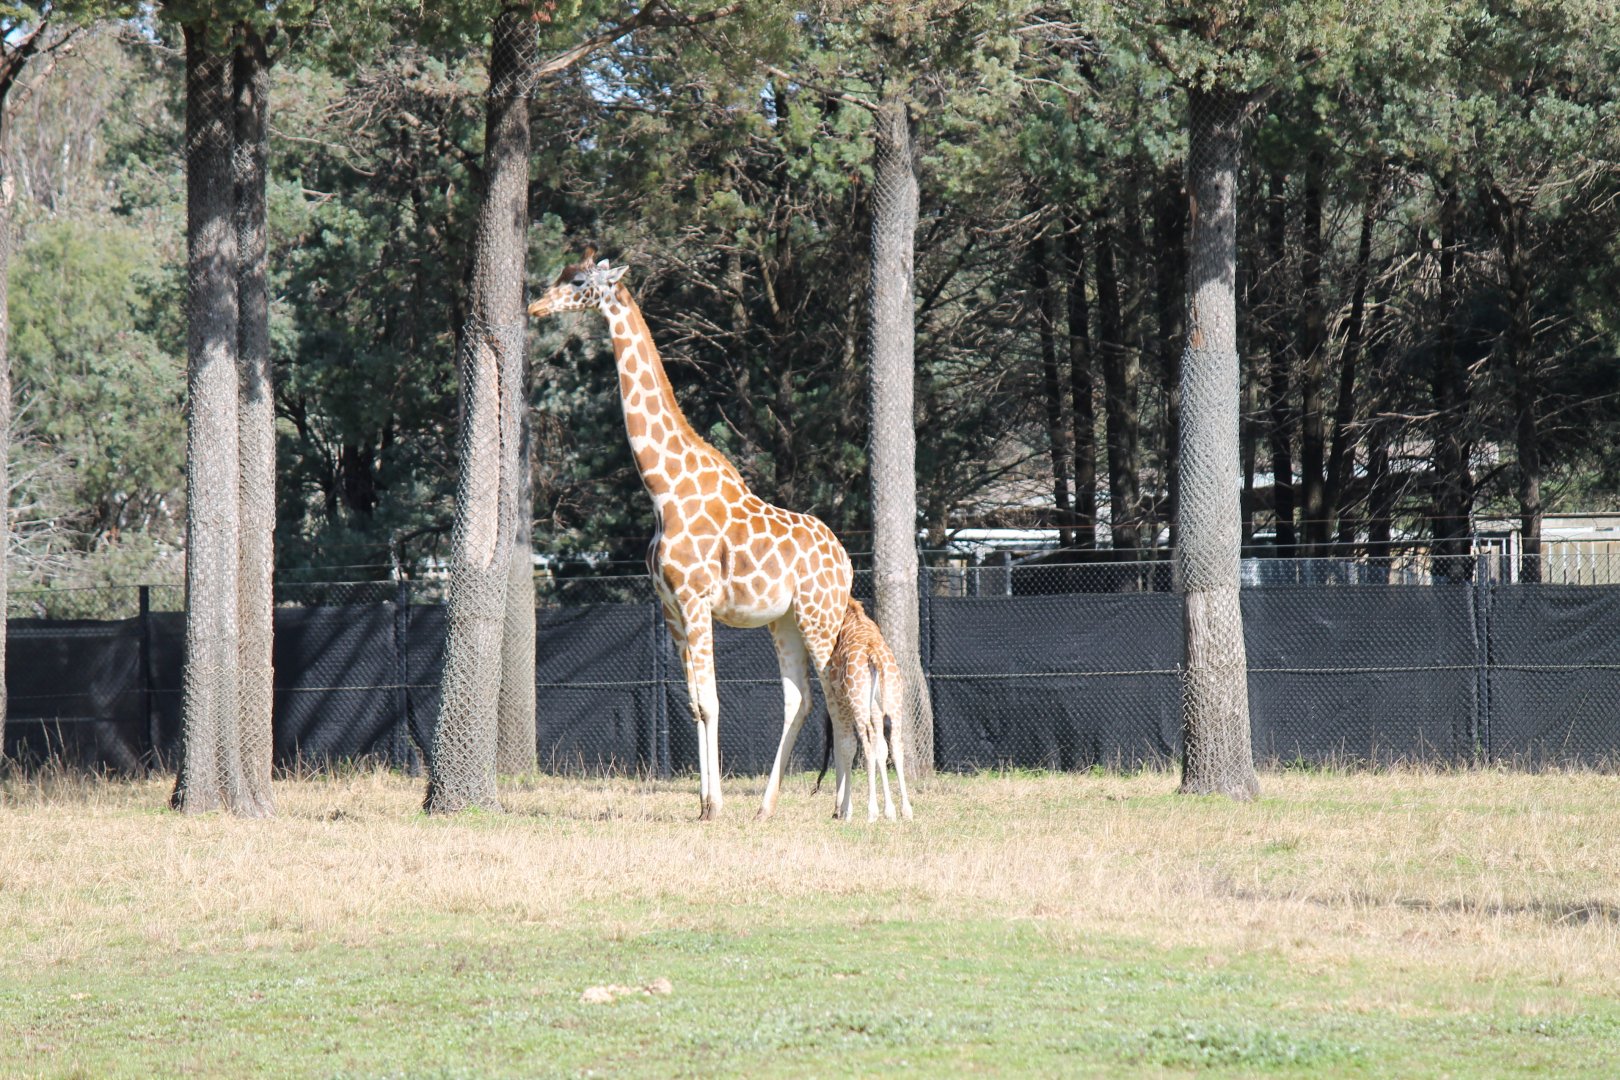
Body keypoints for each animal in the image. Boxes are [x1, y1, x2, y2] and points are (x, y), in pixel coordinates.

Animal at [528, 256, 854, 820]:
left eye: (578, 282)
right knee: (801, 699)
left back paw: (842, 808)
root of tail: (848, 559)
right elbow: (695, 703)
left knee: (835, 696)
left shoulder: (697, 599)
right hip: (786, 620)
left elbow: (712, 701)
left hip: (820, 614)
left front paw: (715, 805)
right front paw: (705, 805)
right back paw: (766, 807)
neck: (663, 489)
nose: (534, 306)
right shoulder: (670, 605)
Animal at [823, 598, 913, 822]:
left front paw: (846, 810)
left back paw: (871, 812)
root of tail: (873, 654)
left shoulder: (842, 702)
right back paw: (905, 810)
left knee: (866, 745)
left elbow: (847, 747)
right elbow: (882, 747)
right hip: (894, 702)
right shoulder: (876, 709)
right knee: (895, 745)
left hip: (859, 704)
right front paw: (889, 810)